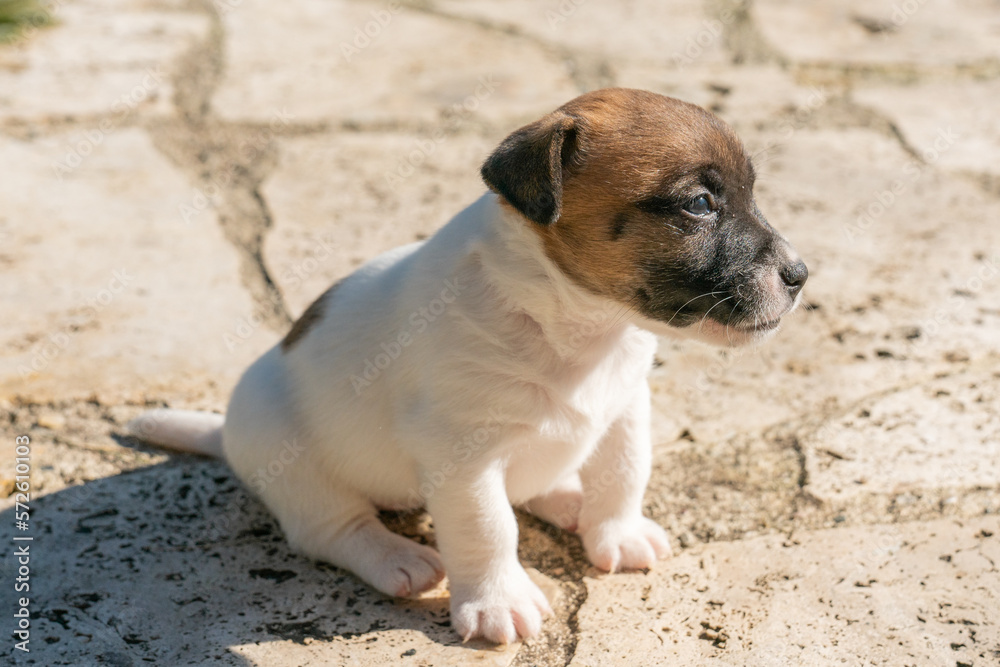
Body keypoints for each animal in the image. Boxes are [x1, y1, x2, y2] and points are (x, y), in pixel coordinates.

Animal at [131, 90, 804, 648]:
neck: (576, 325)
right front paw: (498, 601)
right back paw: (397, 558)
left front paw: (617, 531)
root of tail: (224, 433)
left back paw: (567, 497)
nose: (800, 275)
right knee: (334, 528)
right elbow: (488, 528)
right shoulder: (464, 457)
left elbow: (623, 472)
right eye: (700, 204)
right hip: (294, 463)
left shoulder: (625, 408)